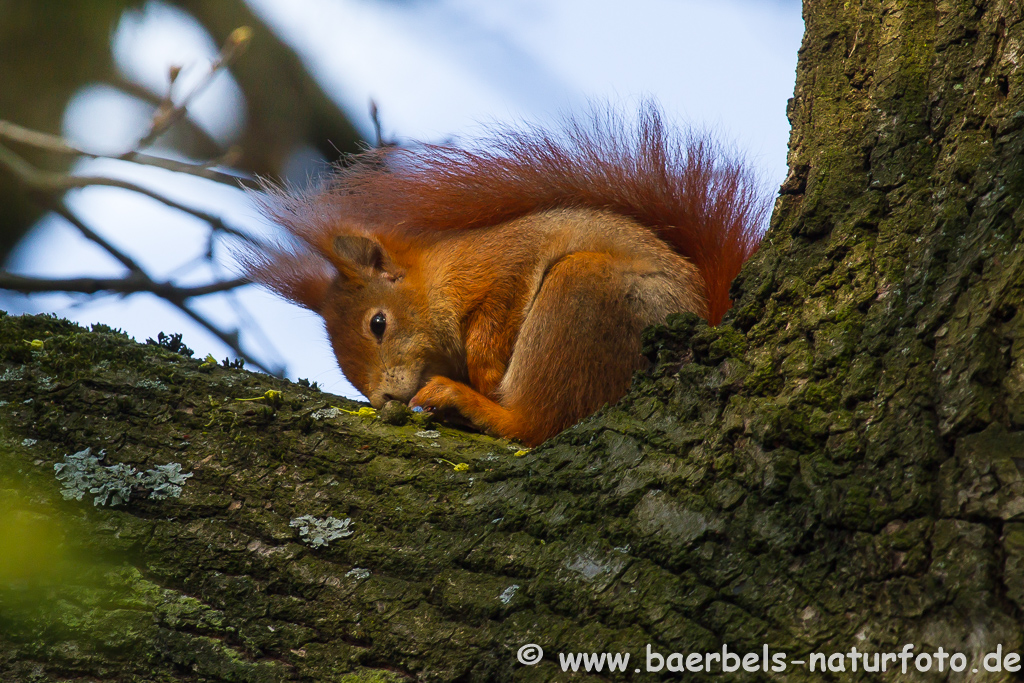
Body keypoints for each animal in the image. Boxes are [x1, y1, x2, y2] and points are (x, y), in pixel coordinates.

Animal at [241, 105, 770, 448]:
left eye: (377, 324)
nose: (384, 398)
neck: (436, 278)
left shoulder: (504, 266)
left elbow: (495, 319)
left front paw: (484, 372)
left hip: (583, 293)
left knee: (536, 424)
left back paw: (473, 403)